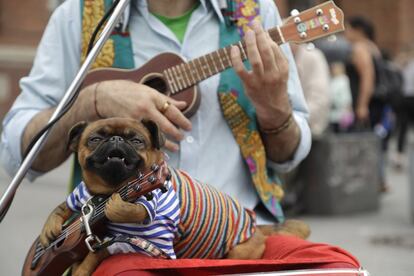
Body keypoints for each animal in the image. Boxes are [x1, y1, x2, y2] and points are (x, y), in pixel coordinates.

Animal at [39, 117, 310, 274]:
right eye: (95, 139)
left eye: (136, 140)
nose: (116, 139)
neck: (107, 191)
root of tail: (256, 227)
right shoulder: (83, 195)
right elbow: (66, 207)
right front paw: (49, 229)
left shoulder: (143, 242)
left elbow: (99, 252)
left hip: (239, 252)